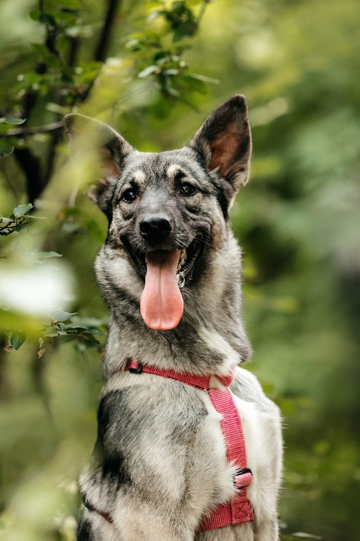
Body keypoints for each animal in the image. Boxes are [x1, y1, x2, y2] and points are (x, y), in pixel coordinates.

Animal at [65, 95, 284, 536]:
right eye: (129, 196)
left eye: (186, 189)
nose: (154, 227)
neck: (209, 381)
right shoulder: (158, 520)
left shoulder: (265, 510)